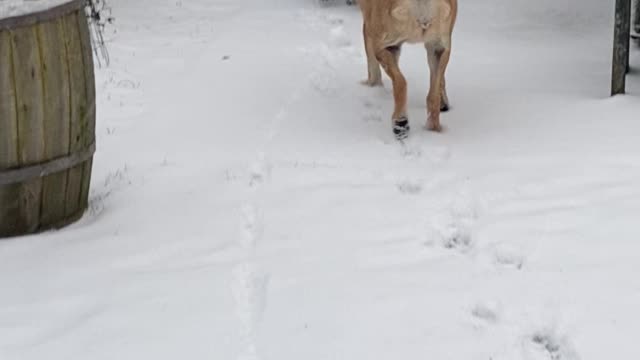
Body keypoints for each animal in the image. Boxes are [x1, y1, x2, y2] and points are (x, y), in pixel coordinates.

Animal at [358, 0, 458, 138]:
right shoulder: (438, 45)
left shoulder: (375, 36)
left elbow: (375, 72)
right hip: (438, 46)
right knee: (432, 95)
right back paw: (434, 129)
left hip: (383, 40)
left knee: (401, 81)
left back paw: (400, 122)